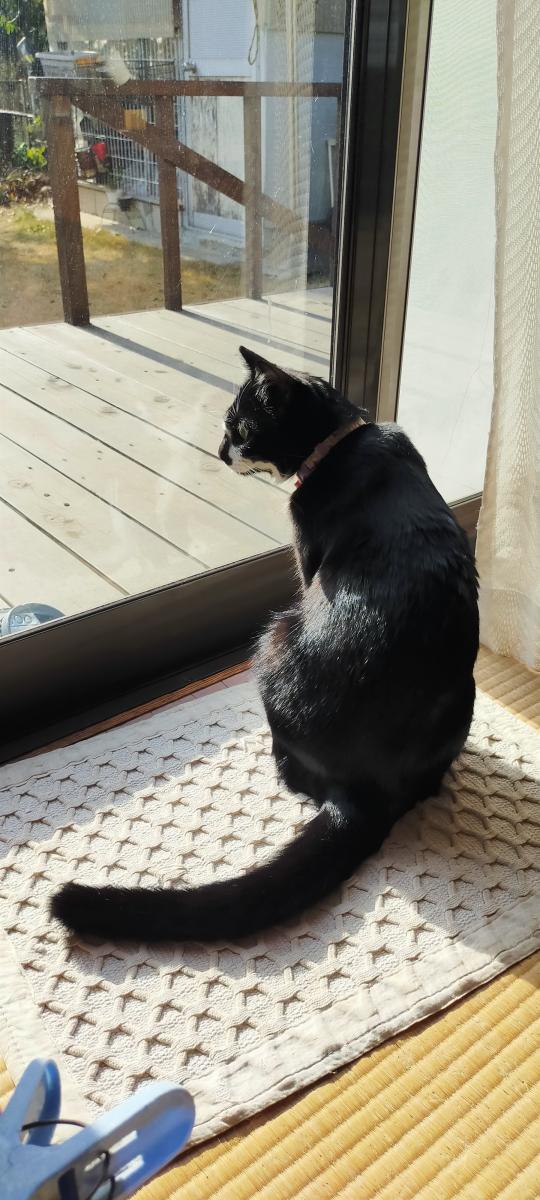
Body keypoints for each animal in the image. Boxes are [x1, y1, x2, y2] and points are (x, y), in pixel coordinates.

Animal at [52, 345, 479, 944]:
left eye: (239, 428)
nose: (218, 451)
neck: (342, 440)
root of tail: (365, 793)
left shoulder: (306, 562)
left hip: (274, 637)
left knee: (294, 771)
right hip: (463, 696)